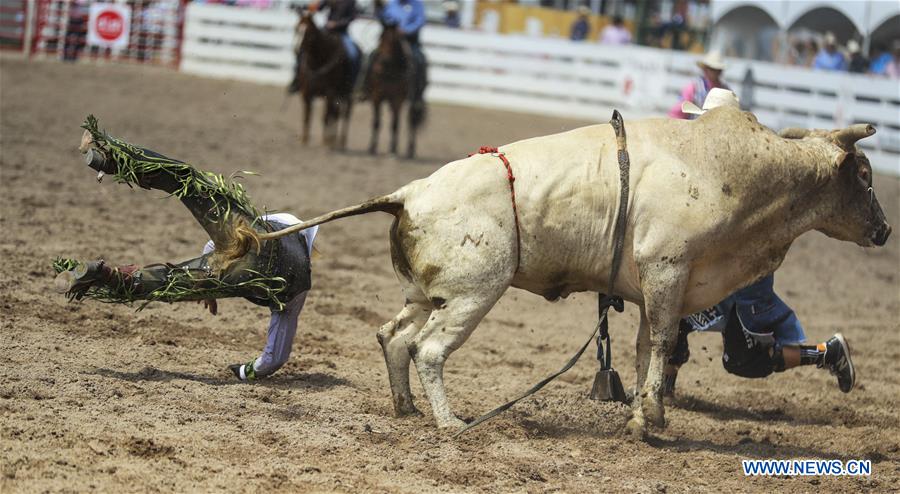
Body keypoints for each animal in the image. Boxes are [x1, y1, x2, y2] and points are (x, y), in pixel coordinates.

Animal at [246, 107, 892, 436]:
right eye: (863, 175)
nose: (885, 231)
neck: (734, 166)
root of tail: (409, 192)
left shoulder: (659, 283)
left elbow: (643, 347)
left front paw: (647, 413)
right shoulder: (669, 270)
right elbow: (662, 343)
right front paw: (648, 417)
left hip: (429, 292)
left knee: (393, 336)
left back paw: (406, 407)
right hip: (474, 293)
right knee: (427, 348)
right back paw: (451, 422)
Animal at [292, 9, 356, 149]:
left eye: (309, 34)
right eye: (296, 28)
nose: (296, 50)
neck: (318, 62)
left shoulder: (330, 93)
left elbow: (325, 116)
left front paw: (325, 142)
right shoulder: (306, 93)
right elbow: (307, 115)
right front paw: (305, 140)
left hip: (347, 93)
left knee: (345, 114)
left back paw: (340, 142)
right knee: (336, 113)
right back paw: (333, 139)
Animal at [366, 23, 426, 158]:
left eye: (393, 41)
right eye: (380, 38)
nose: (382, 62)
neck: (390, 71)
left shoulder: (397, 99)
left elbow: (395, 124)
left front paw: (392, 150)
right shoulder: (376, 97)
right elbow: (376, 122)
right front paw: (372, 147)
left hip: (415, 99)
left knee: (412, 120)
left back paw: (410, 150)